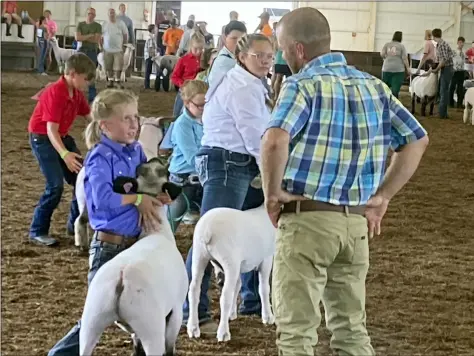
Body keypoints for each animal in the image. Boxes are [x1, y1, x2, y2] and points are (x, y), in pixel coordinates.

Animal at [78, 158, 188, 356]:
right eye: (167, 172)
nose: (154, 159)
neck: (155, 231)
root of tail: (121, 279)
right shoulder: (176, 310)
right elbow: (170, 348)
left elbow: (136, 347)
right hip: (151, 327)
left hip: (92, 321)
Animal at [186, 203, 276, 342]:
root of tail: (207, 230)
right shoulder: (266, 259)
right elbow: (264, 288)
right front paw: (268, 316)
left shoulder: (240, 265)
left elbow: (237, 286)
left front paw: (231, 314)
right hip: (229, 261)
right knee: (225, 297)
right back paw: (223, 333)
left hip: (199, 256)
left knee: (194, 290)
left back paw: (193, 328)